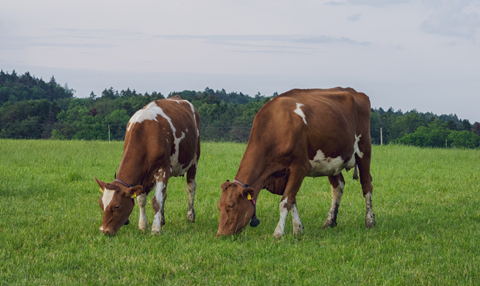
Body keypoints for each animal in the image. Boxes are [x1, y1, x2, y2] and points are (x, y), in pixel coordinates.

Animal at [95, 95, 201, 236]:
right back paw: (161, 219)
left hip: (194, 160)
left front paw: (155, 229)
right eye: (101, 204)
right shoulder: (142, 176)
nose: (104, 230)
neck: (145, 134)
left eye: (117, 206)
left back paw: (190, 216)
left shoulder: (163, 169)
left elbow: (156, 201)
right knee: (164, 195)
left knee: (191, 188)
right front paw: (143, 225)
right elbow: (142, 200)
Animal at [217, 86, 376, 237]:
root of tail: (354, 91)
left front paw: (278, 233)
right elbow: (292, 199)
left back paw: (370, 222)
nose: (221, 234)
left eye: (231, 205)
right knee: (338, 188)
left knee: (366, 185)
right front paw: (297, 229)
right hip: (333, 162)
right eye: (219, 206)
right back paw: (329, 222)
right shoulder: (285, 175)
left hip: (364, 150)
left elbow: (285, 201)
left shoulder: (299, 168)